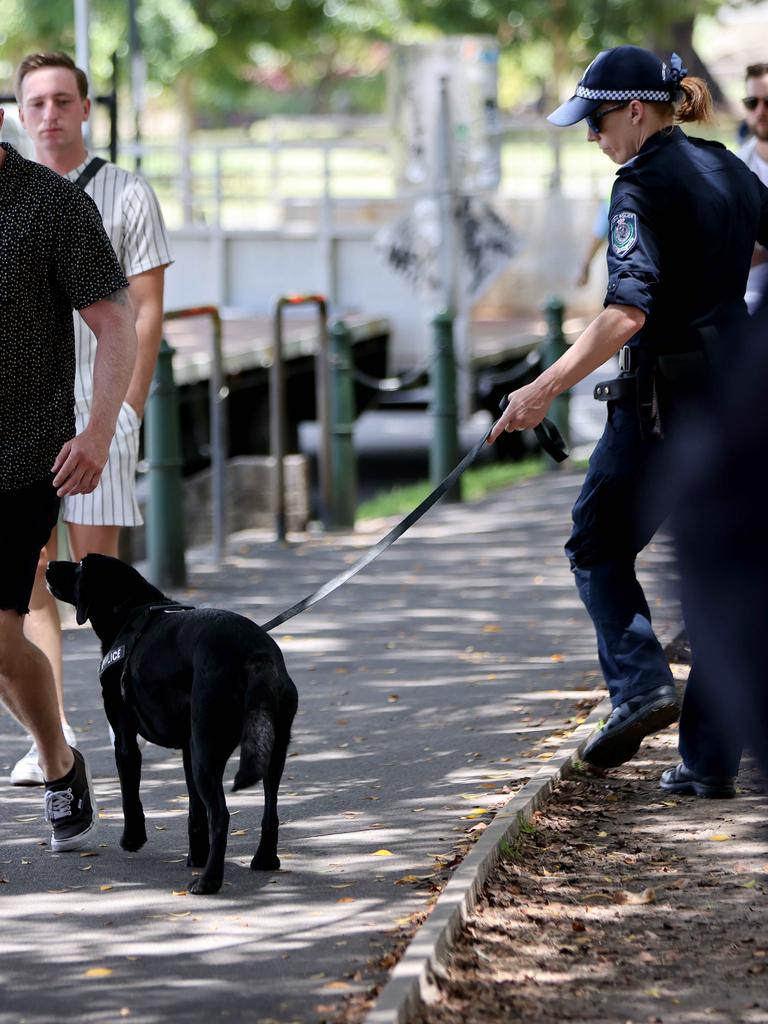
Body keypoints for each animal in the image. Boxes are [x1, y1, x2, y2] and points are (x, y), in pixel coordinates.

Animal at [45, 552, 296, 897]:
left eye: (81, 565)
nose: (48, 565)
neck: (132, 609)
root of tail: (257, 655)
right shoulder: (188, 749)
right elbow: (194, 811)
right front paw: (196, 855)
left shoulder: (125, 738)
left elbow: (131, 795)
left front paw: (133, 839)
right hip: (269, 751)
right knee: (270, 808)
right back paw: (264, 859)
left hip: (208, 750)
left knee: (221, 814)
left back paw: (209, 881)